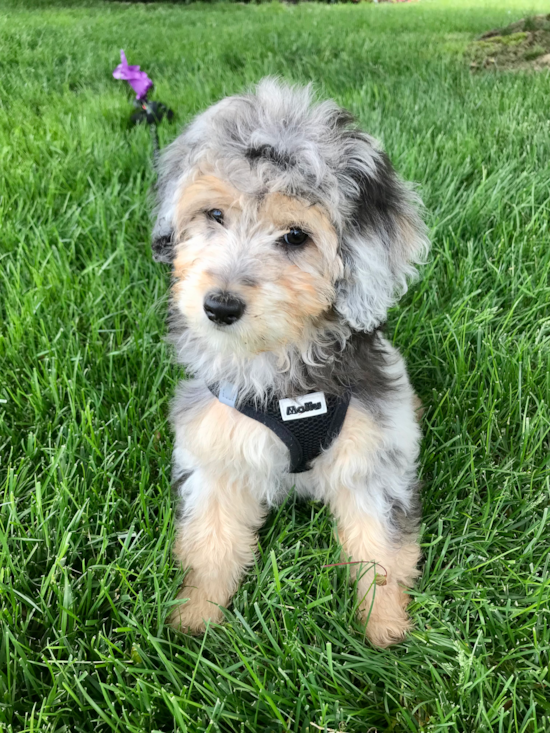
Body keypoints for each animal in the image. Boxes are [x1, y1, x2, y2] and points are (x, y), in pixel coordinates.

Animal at [152, 78, 432, 648]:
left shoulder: (372, 460)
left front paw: (386, 634)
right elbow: (210, 544)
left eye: (296, 236)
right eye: (215, 215)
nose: (219, 307)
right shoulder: (215, 453)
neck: (281, 375)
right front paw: (194, 624)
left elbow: (379, 550)